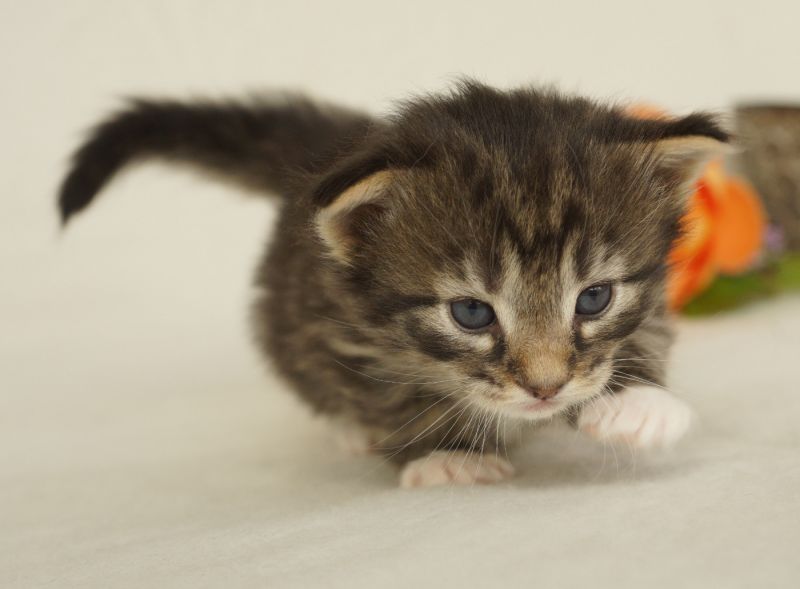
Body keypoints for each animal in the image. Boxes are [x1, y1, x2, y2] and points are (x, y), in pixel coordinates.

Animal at [61, 82, 724, 486]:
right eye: (471, 314)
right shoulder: (339, 324)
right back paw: (348, 429)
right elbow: (393, 400)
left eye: (594, 298)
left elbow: (642, 341)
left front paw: (637, 405)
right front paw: (449, 454)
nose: (545, 389)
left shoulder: (652, 299)